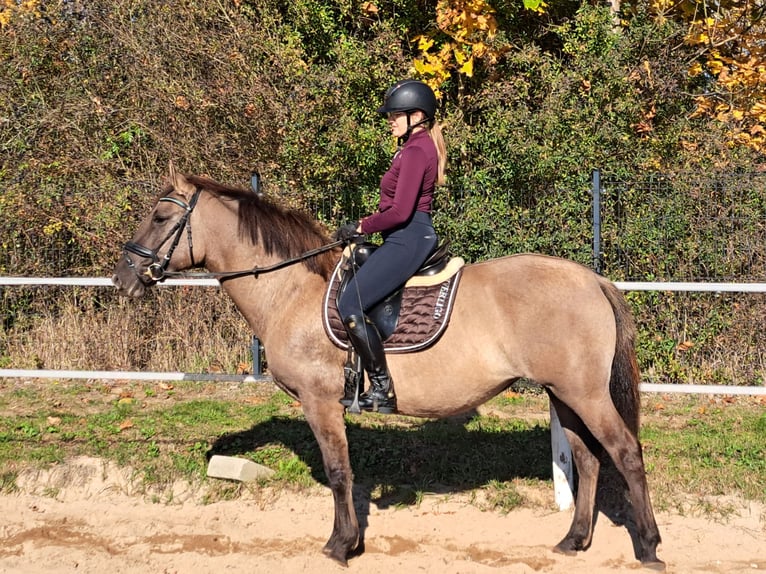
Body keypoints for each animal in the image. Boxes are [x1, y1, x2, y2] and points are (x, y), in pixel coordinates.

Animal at [112, 163, 664, 572]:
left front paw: (341, 546)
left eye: (159, 217)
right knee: (589, 459)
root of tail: (593, 280)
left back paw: (649, 547)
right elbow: (346, 473)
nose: (122, 279)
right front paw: (349, 540)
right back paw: (574, 540)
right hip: (562, 393)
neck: (291, 291)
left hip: (584, 393)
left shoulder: (320, 402)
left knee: (626, 453)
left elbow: (339, 471)